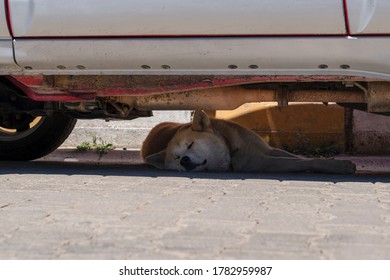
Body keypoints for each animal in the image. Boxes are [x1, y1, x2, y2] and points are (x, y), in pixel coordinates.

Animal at [141, 110, 356, 174]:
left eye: (190, 145)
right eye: (176, 158)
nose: (185, 160)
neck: (232, 146)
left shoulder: (268, 150)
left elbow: (300, 157)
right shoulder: (264, 162)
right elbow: (305, 162)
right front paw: (341, 166)